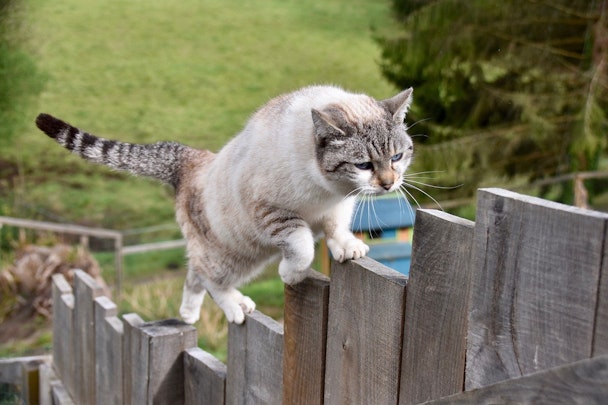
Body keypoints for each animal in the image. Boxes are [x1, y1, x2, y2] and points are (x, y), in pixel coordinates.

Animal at [35, 86, 416, 326]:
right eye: (364, 164)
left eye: (397, 157)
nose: (388, 184)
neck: (326, 188)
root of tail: (193, 158)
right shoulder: (273, 214)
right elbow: (303, 246)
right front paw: (291, 274)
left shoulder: (338, 204)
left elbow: (337, 227)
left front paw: (348, 246)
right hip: (234, 254)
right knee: (209, 277)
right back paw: (235, 306)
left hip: (237, 253)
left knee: (193, 273)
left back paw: (188, 314)